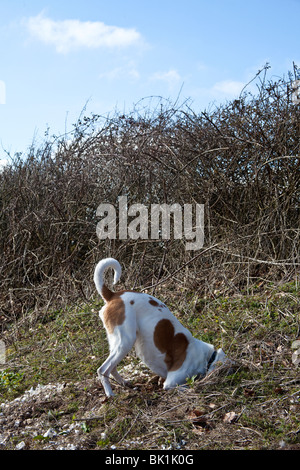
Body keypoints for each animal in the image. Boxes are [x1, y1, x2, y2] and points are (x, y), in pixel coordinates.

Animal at [92, 258, 226, 396]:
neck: (207, 357)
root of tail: (113, 295)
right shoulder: (171, 383)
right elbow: (186, 386)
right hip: (125, 342)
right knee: (102, 370)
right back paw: (110, 394)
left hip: (117, 344)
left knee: (112, 368)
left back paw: (124, 383)